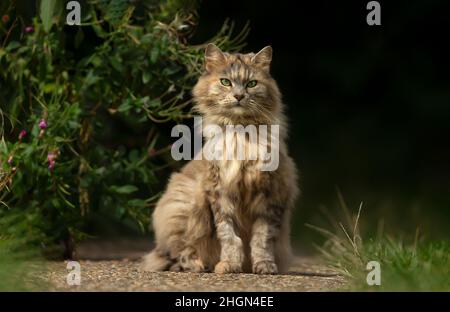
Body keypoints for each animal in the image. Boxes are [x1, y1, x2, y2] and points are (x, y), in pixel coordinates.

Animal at [142, 43, 298, 272]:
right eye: (226, 82)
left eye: (252, 84)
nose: (239, 96)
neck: (241, 133)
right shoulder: (219, 193)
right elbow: (229, 236)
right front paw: (229, 264)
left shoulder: (271, 195)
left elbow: (262, 239)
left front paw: (264, 265)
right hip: (182, 207)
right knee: (179, 253)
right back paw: (199, 265)